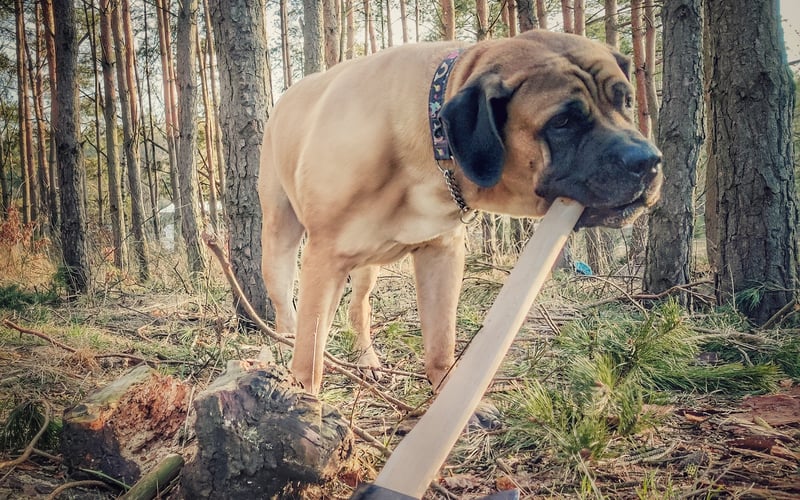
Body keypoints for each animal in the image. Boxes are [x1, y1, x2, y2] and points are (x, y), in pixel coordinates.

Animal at [260, 29, 664, 396]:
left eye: (626, 101)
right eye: (562, 123)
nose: (648, 161)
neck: (430, 137)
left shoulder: (442, 252)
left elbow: (441, 339)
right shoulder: (325, 256)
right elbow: (309, 352)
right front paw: (304, 401)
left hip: (366, 266)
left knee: (358, 308)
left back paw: (366, 360)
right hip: (281, 240)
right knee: (288, 309)